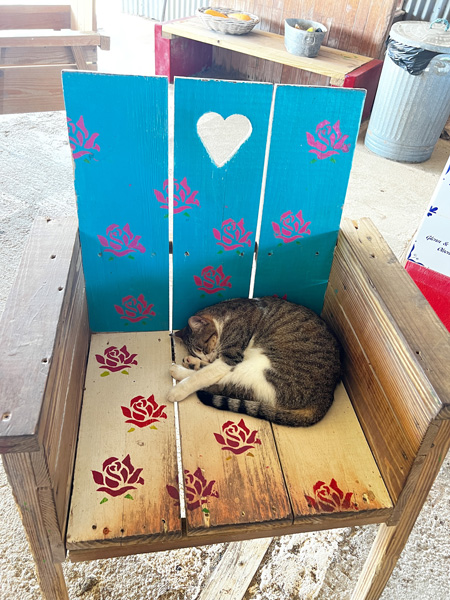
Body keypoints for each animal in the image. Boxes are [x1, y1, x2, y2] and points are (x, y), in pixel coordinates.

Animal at [168, 296, 342, 426]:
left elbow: (202, 376)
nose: (204, 357)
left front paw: (178, 390)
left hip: (261, 367)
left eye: (203, 348)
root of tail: (326, 396)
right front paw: (196, 361)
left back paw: (178, 372)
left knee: (222, 382)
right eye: (199, 352)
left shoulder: (230, 357)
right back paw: (191, 364)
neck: (225, 318)